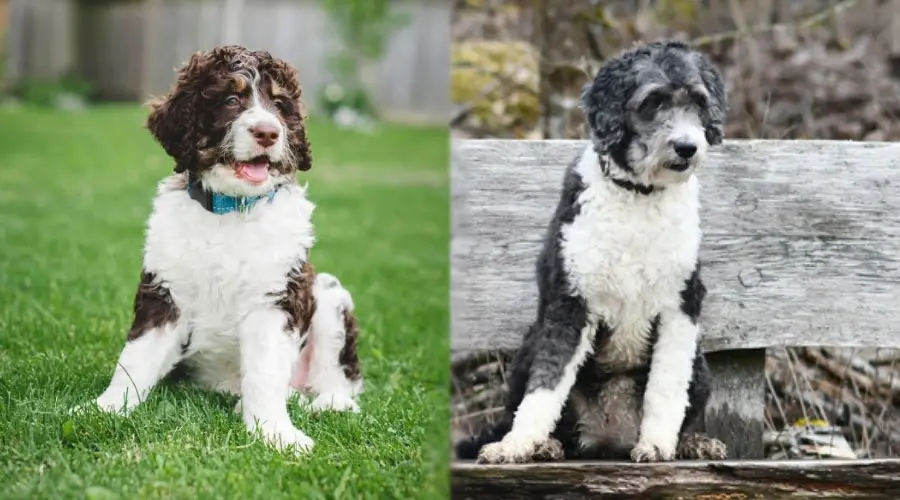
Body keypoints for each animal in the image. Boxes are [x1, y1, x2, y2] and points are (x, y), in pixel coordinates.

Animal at [74, 46, 362, 454]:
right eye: (231, 100)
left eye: (278, 104)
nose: (268, 132)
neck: (232, 208)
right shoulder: (166, 293)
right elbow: (135, 359)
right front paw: (105, 409)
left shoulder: (276, 298)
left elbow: (264, 372)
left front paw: (275, 432)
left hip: (329, 295)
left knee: (337, 375)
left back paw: (331, 402)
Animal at [458, 41, 732, 462]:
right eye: (652, 101)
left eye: (699, 102)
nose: (687, 147)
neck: (639, 197)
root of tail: (609, 434)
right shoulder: (570, 304)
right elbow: (546, 385)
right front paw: (515, 446)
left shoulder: (681, 305)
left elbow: (667, 387)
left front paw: (656, 444)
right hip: (529, 345)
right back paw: (546, 445)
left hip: (699, 363)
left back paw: (693, 442)